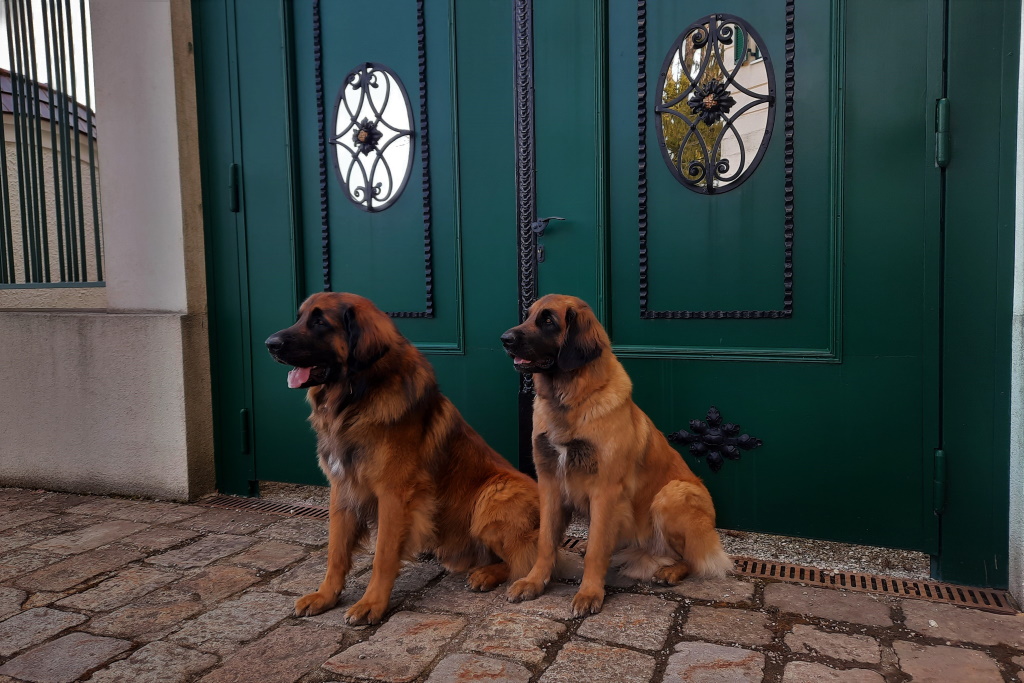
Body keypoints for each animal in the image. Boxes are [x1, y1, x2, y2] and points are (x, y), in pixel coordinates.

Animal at [264, 292, 540, 626]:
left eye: (319, 322)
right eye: (301, 317)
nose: (269, 343)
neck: (355, 399)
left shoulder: (393, 495)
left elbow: (383, 554)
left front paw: (372, 603)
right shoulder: (342, 489)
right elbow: (336, 551)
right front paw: (326, 595)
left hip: (494, 495)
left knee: (524, 561)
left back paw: (486, 574)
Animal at [499, 290, 733, 618]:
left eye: (548, 321)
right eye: (529, 315)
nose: (504, 339)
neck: (571, 399)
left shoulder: (605, 490)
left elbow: (597, 550)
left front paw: (589, 593)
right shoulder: (549, 483)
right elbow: (546, 541)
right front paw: (534, 581)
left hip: (672, 494)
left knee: (693, 557)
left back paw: (671, 570)